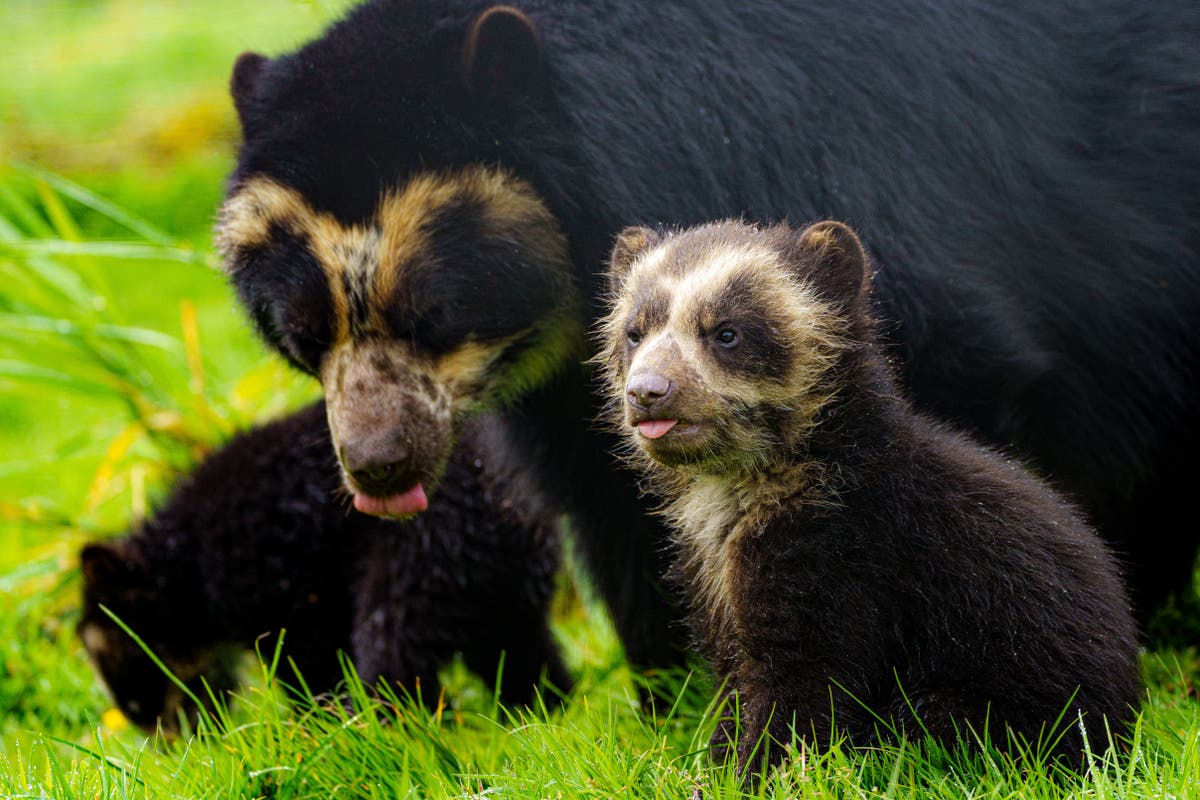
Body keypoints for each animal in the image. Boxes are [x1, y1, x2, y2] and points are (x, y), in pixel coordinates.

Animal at [79, 407, 566, 734]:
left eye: (130, 659)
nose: (167, 743)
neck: (189, 562)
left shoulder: (281, 592)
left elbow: (309, 668)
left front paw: (317, 729)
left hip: (424, 554)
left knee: (393, 651)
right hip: (501, 577)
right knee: (521, 651)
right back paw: (539, 715)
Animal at [218, 0, 1200, 671]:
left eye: (434, 313)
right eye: (299, 333)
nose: (380, 469)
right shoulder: (568, 381)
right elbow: (606, 492)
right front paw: (670, 686)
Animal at [600, 219, 1142, 777]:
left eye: (727, 332)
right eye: (635, 332)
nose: (647, 392)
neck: (747, 491)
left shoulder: (844, 552)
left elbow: (805, 678)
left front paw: (761, 771)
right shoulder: (710, 574)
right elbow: (735, 679)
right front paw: (713, 762)